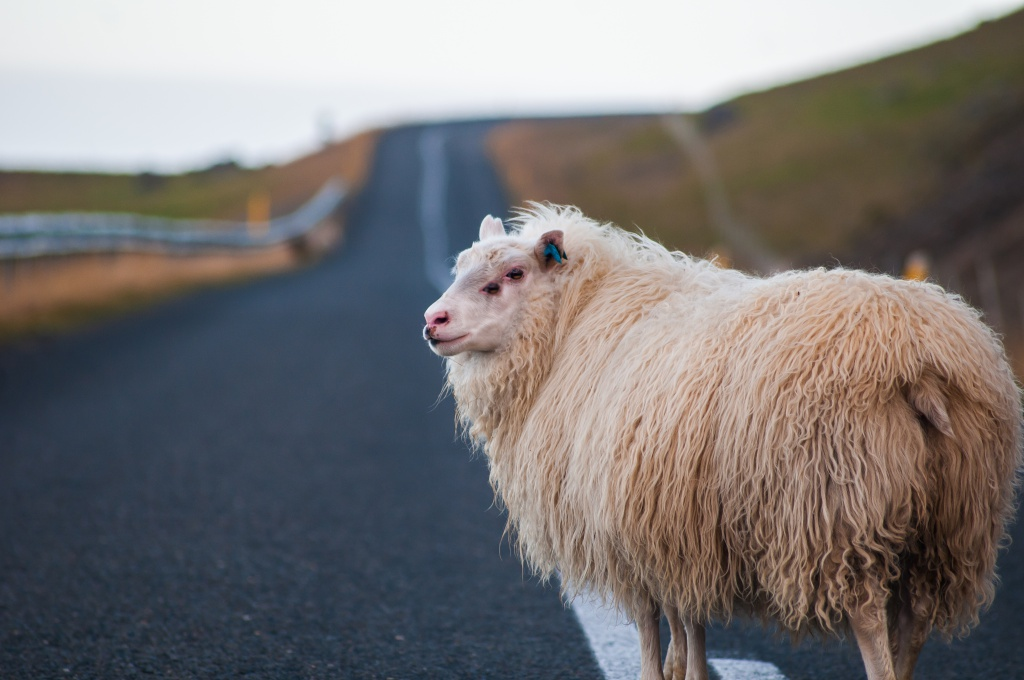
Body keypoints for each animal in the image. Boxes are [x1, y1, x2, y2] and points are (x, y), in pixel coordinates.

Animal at [419, 205, 1019, 680]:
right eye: (461, 267)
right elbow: (687, 620)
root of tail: (917, 361)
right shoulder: (677, 525)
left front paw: (661, 673)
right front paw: (686, 672)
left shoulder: (628, 531)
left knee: (870, 620)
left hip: (838, 510)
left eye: (512, 273)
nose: (433, 320)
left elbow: (651, 625)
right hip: (954, 522)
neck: (574, 325)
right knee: (914, 624)